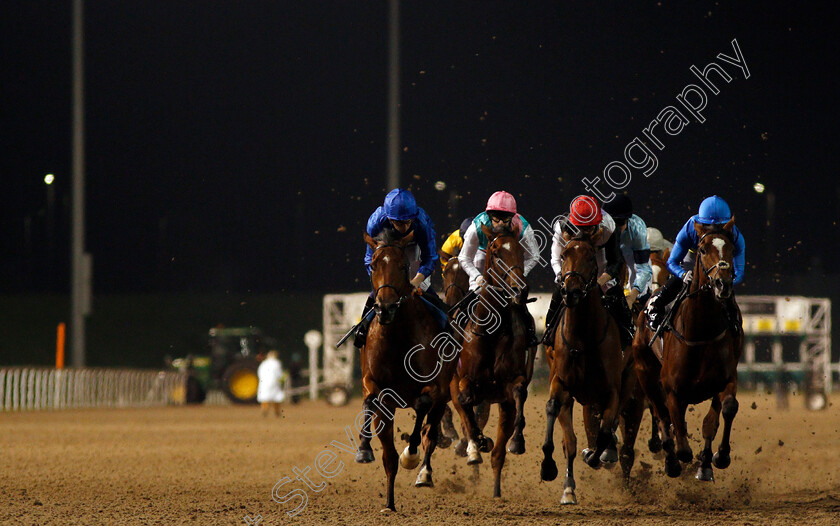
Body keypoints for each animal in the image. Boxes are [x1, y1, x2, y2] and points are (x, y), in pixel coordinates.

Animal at [356, 230, 456, 512]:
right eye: (373, 265)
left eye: (403, 266)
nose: (385, 308)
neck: (397, 338)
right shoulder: (375, 386)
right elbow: (371, 403)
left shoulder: (435, 388)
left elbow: (422, 405)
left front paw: (410, 455)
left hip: (442, 396)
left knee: (430, 435)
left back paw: (423, 472)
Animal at [450, 223, 536, 500]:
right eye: (496, 251)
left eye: (520, 250)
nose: (520, 290)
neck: (492, 331)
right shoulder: (465, 380)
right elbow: (467, 401)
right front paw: (477, 442)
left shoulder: (511, 385)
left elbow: (519, 393)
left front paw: (517, 441)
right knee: (464, 408)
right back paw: (474, 445)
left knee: (498, 454)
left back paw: (497, 489)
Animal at [540, 228, 644, 508]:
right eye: (565, 254)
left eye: (589, 256)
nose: (571, 291)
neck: (582, 339)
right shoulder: (561, 383)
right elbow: (566, 434)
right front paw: (557, 476)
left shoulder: (611, 391)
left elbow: (606, 431)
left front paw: (597, 455)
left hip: (627, 383)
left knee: (616, 430)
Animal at [632, 218, 744, 482]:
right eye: (702, 249)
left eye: (732, 248)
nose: (723, 284)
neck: (700, 332)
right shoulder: (672, 390)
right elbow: (678, 437)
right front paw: (676, 459)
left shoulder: (725, 380)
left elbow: (722, 413)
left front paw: (715, 459)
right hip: (644, 371)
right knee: (660, 413)